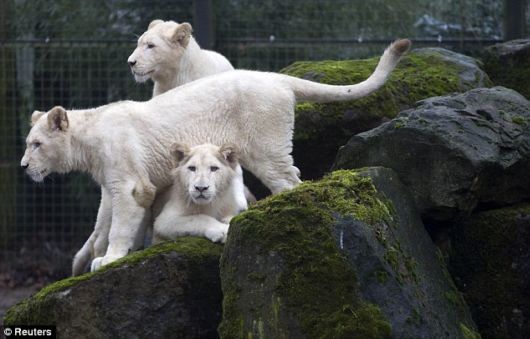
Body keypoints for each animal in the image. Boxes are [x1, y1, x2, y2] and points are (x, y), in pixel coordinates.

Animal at [19, 38, 408, 274]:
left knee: (289, 178)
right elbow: (123, 221)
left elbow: (121, 224)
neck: (88, 141)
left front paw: (109, 259)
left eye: (35, 144)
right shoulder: (132, 184)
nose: (24, 166)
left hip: (265, 147)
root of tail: (278, 80)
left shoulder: (129, 182)